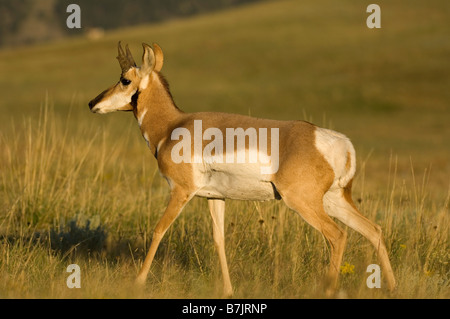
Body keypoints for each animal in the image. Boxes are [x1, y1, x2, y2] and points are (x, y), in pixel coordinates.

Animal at [89, 42, 396, 298]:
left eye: (125, 79)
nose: (92, 103)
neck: (171, 126)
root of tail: (338, 143)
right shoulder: (215, 197)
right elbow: (219, 239)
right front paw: (228, 290)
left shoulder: (181, 191)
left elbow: (158, 230)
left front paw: (137, 283)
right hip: (334, 201)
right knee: (373, 230)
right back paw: (392, 287)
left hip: (304, 202)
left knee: (338, 235)